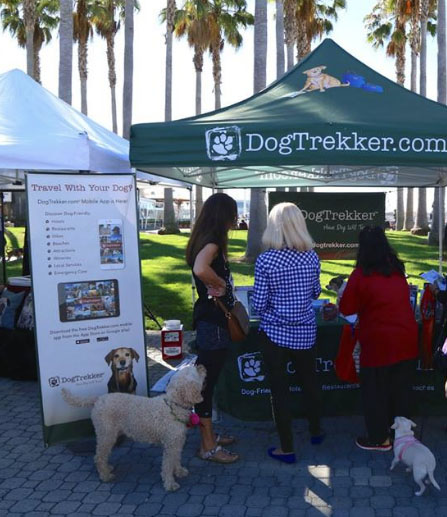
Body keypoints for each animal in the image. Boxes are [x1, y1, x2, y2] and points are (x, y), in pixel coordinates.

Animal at [62, 362, 207, 492]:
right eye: (195, 370)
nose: (202, 366)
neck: (174, 404)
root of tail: (98, 399)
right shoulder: (170, 445)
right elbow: (167, 465)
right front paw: (170, 484)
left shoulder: (177, 443)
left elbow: (176, 459)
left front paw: (179, 471)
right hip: (106, 434)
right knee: (99, 457)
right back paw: (105, 475)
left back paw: (107, 468)